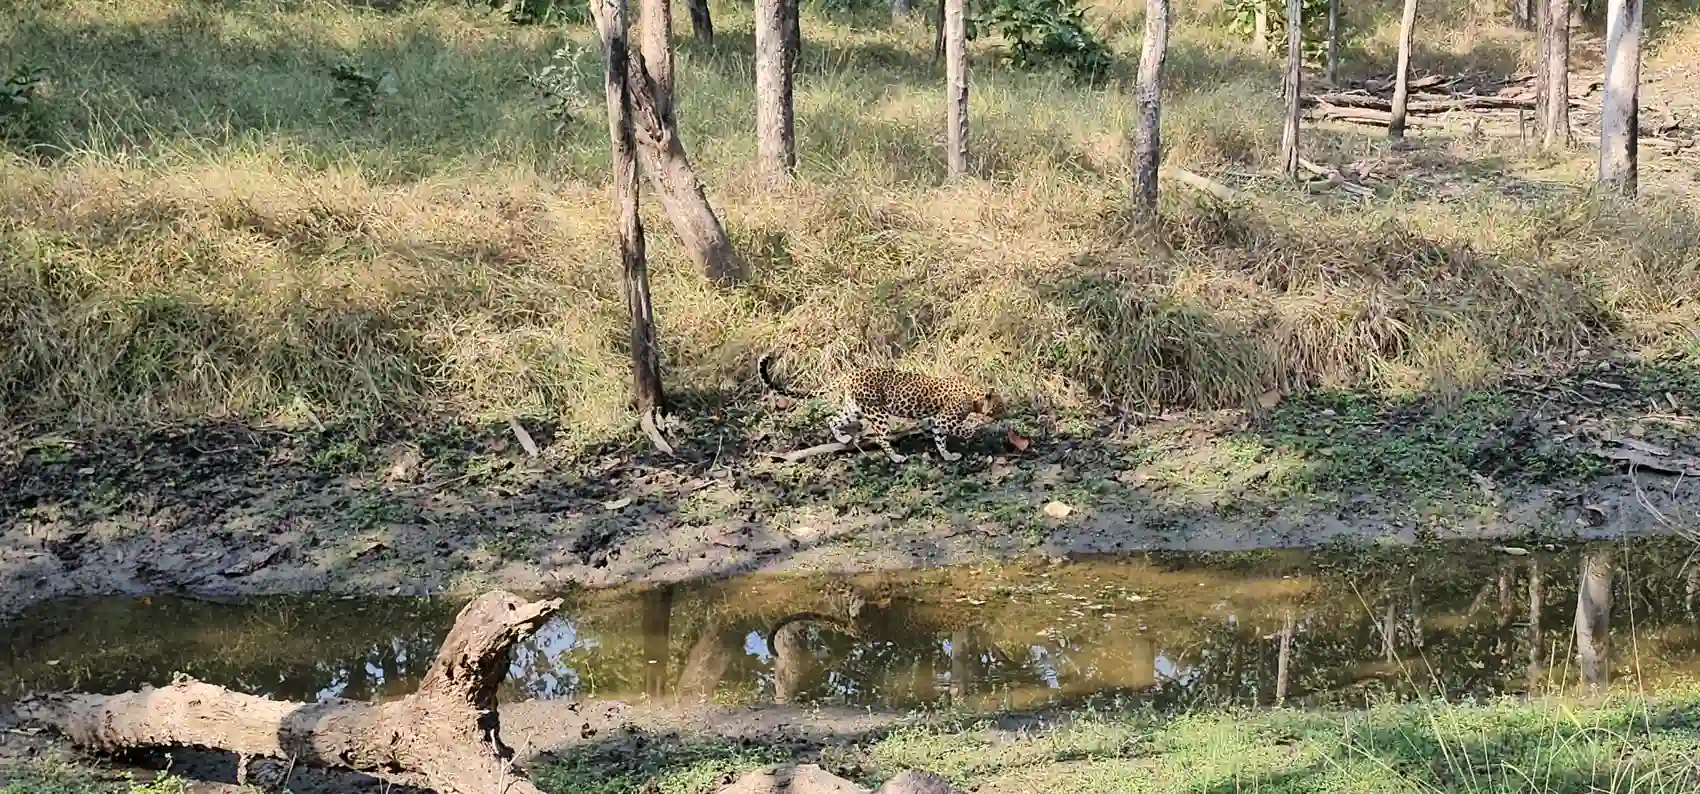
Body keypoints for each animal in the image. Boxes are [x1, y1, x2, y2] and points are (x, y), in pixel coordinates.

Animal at [757, 351, 1005, 463]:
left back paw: (844, 438)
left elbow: (940, 439)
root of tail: (849, 374)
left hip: (855, 408)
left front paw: (947, 455)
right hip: (878, 413)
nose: (1007, 412)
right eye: (999, 407)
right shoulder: (945, 419)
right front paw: (973, 434)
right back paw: (896, 457)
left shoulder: (937, 421)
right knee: (880, 437)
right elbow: (961, 429)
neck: (974, 396)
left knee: (833, 420)